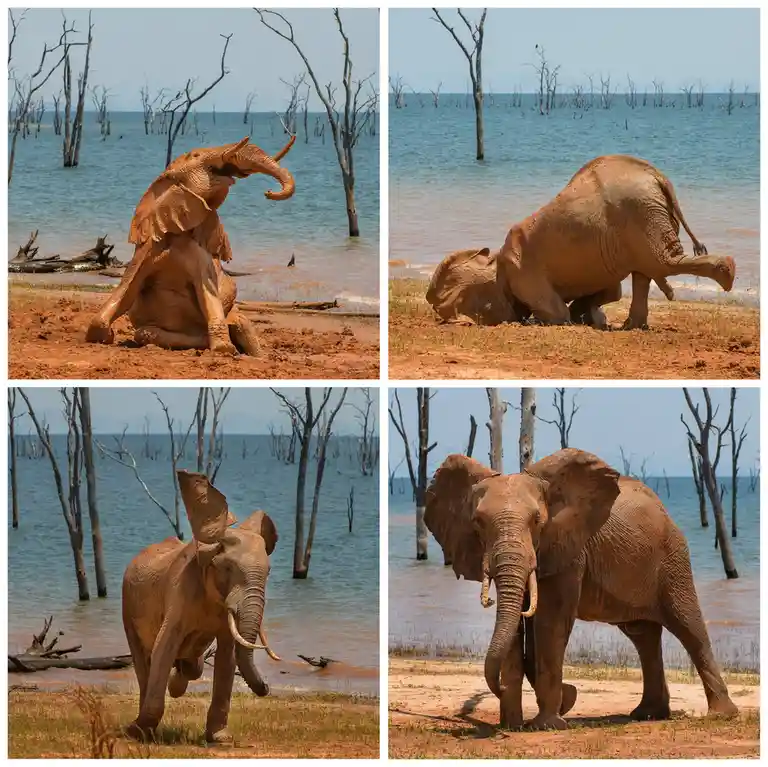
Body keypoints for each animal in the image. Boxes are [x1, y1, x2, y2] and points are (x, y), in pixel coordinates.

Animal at [86, 135, 296, 355]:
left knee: (241, 324)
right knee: (145, 333)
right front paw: (104, 337)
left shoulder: (199, 255)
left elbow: (207, 292)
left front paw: (224, 348)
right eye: (196, 155)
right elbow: (126, 290)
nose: (268, 192)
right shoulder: (146, 250)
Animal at [122, 469, 280, 743]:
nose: (267, 688)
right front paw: (135, 732)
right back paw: (142, 731)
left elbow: (228, 655)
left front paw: (220, 738)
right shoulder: (181, 590)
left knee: (191, 665)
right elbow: (164, 645)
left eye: (268, 573)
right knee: (143, 661)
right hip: (127, 607)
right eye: (227, 568)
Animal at [424, 448, 738, 731]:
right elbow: (516, 626)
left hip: (673, 558)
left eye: (537, 521)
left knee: (688, 626)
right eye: (477, 522)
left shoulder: (568, 548)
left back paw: (721, 715)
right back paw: (648, 714)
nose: (498, 688)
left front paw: (546, 725)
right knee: (642, 634)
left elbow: (550, 621)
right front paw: (512, 725)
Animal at [492, 155, 735, 329]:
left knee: (660, 263)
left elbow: (559, 312)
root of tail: (658, 177)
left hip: (641, 213)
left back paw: (728, 273)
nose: (672, 295)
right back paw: (632, 326)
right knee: (646, 271)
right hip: (646, 216)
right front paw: (587, 317)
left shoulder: (524, 271)